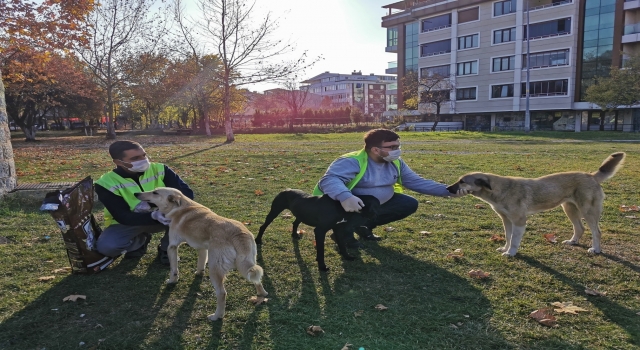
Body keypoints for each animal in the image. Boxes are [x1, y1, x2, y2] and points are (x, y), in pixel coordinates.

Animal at [134, 187, 266, 322]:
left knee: (222, 293)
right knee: (257, 279)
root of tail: (238, 234)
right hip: (249, 263)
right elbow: (201, 263)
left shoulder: (172, 247)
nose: (136, 193)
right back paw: (262, 294)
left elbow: (174, 269)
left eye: (155, 192)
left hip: (215, 268)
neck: (179, 207)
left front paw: (172, 281)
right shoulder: (203, 248)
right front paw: (199, 273)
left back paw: (217, 316)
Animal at [444, 153, 624, 258]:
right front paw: (505, 248)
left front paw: (511, 253)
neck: (499, 190)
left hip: (588, 211)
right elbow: (508, 237)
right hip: (569, 209)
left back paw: (596, 249)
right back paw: (572, 242)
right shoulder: (506, 220)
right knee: (580, 228)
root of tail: (591, 176)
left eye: (462, 181)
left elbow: (514, 240)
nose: (447, 188)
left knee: (596, 232)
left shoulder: (519, 221)